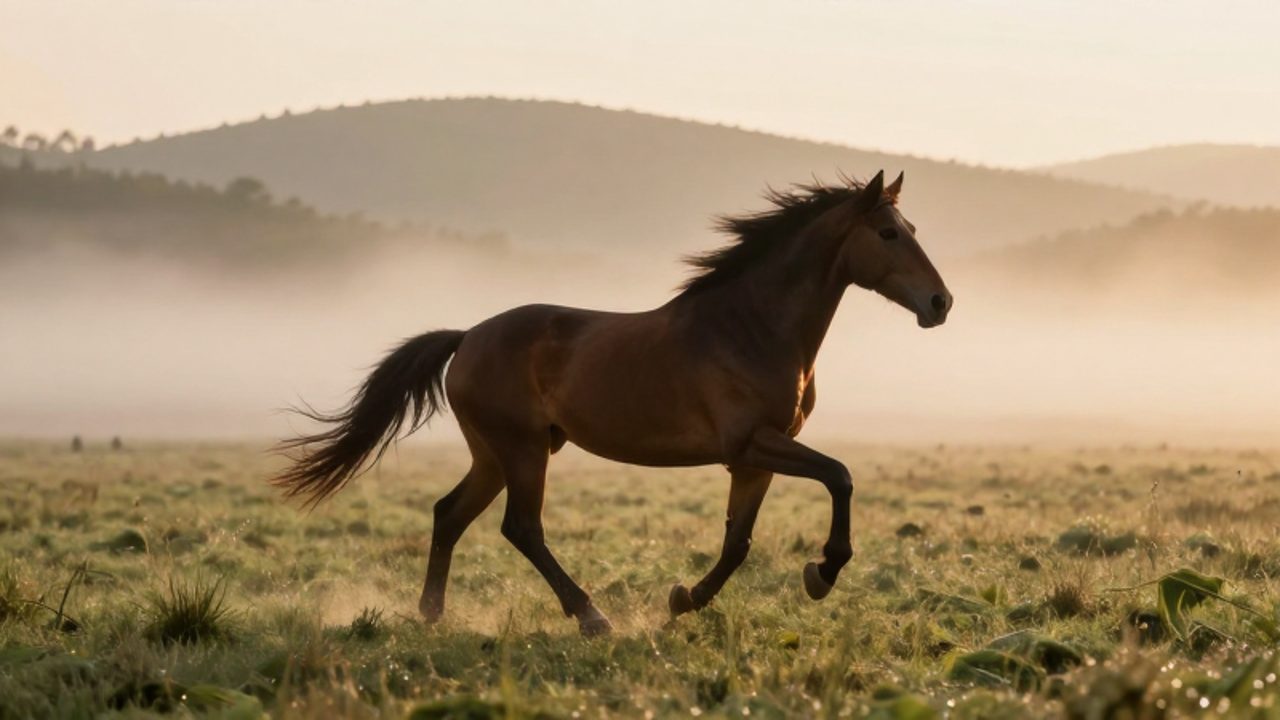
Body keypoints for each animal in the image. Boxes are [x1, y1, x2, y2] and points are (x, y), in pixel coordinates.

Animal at [273, 170, 952, 636]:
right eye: (888, 233)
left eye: (915, 231)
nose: (940, 303)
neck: (752, 328)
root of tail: (467, 337)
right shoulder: (753, 442)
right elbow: (840, 475)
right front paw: (822, 573)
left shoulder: (752, 459)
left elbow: (738, 543)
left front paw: (684, 599)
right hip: (522, 451)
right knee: (520, 527)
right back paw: (590, 615)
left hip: (494, 454)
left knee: (449, 514)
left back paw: (432, 613)